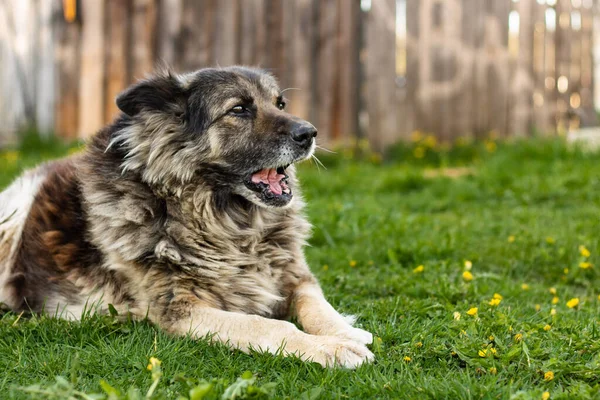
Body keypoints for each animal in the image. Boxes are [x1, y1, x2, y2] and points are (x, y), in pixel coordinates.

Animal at [0, 66, 376, 368]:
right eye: (239, 109)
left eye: (280, 104)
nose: (309, 133)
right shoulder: (180, 309)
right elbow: (269, 325)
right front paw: (331, 349)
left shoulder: (295, 276)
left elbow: (316, 305)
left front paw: (346, 332)